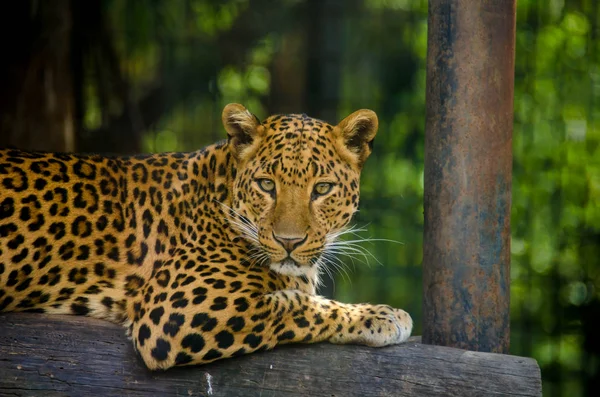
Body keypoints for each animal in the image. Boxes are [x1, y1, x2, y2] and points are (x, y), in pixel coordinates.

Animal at [0, 103, 412, 370]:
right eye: (267, 185)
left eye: (322, 188)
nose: (289, 242)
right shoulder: (173, 312)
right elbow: (297, 305)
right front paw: (383, 316)